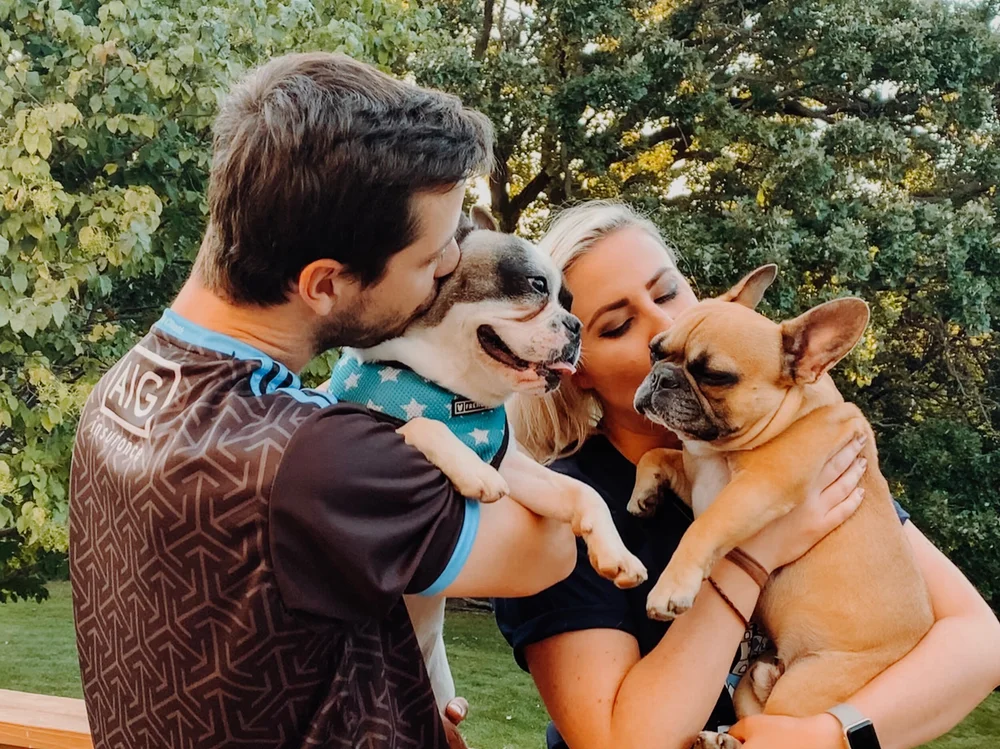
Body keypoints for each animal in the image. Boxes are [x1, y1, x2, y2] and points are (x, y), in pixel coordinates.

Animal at [326, 207, 647, 708]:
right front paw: (473, 471)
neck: (453, 393)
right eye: (535, 285)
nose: (575, 325)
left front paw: (617, 553)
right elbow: (421, 424)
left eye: (570, 301)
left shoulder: (521, 469)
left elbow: (582, 492)